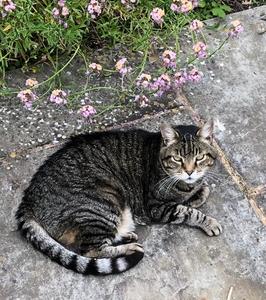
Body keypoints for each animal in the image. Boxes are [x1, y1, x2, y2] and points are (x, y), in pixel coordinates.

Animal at [15, 120, 221, 276]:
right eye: (177, 159)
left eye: (200, 158)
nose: (189, 172)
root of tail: (28, 199)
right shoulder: (157, 208)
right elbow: (189, 212)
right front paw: (209, 221)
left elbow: (198, 193)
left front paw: (198, 192)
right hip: (104, 201)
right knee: (91, 249)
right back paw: (130, 247)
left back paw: (125, 235)